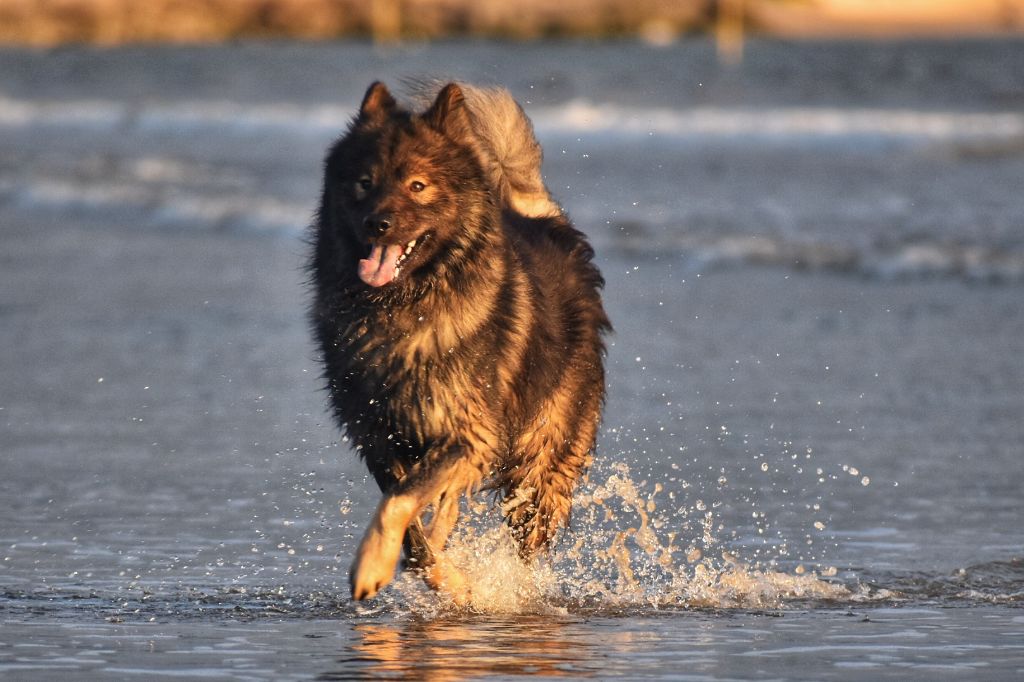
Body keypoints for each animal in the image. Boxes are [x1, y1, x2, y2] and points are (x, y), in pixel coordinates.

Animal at [305, 80, 606, 602]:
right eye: (364, 182)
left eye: (418, 185)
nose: (377, 224)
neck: (402, 308)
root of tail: (550, 225)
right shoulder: (378, 437)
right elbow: (412, 531)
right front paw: (439, 576)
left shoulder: (466, 430)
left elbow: (400, 502)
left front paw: (371, 565)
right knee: (447, 508)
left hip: (538, 460)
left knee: (526, 533)